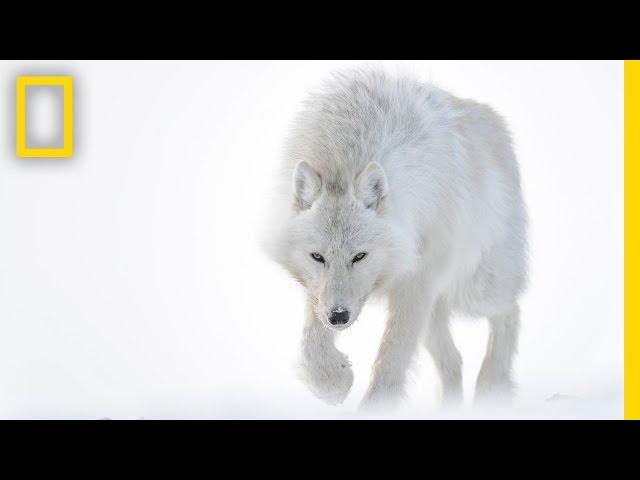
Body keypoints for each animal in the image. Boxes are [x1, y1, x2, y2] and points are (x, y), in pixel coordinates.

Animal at [268, 69, 528, 410]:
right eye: (318, 257)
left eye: (359, 256)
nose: (338, 317)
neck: (346, 153)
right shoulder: (318, 289)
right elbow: (312, 340)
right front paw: (333, 382)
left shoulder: (417, 280)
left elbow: (392, 355)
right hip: (435, 313)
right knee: (454, 361)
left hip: (475, 288)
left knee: (510, 311)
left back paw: (491, 387)